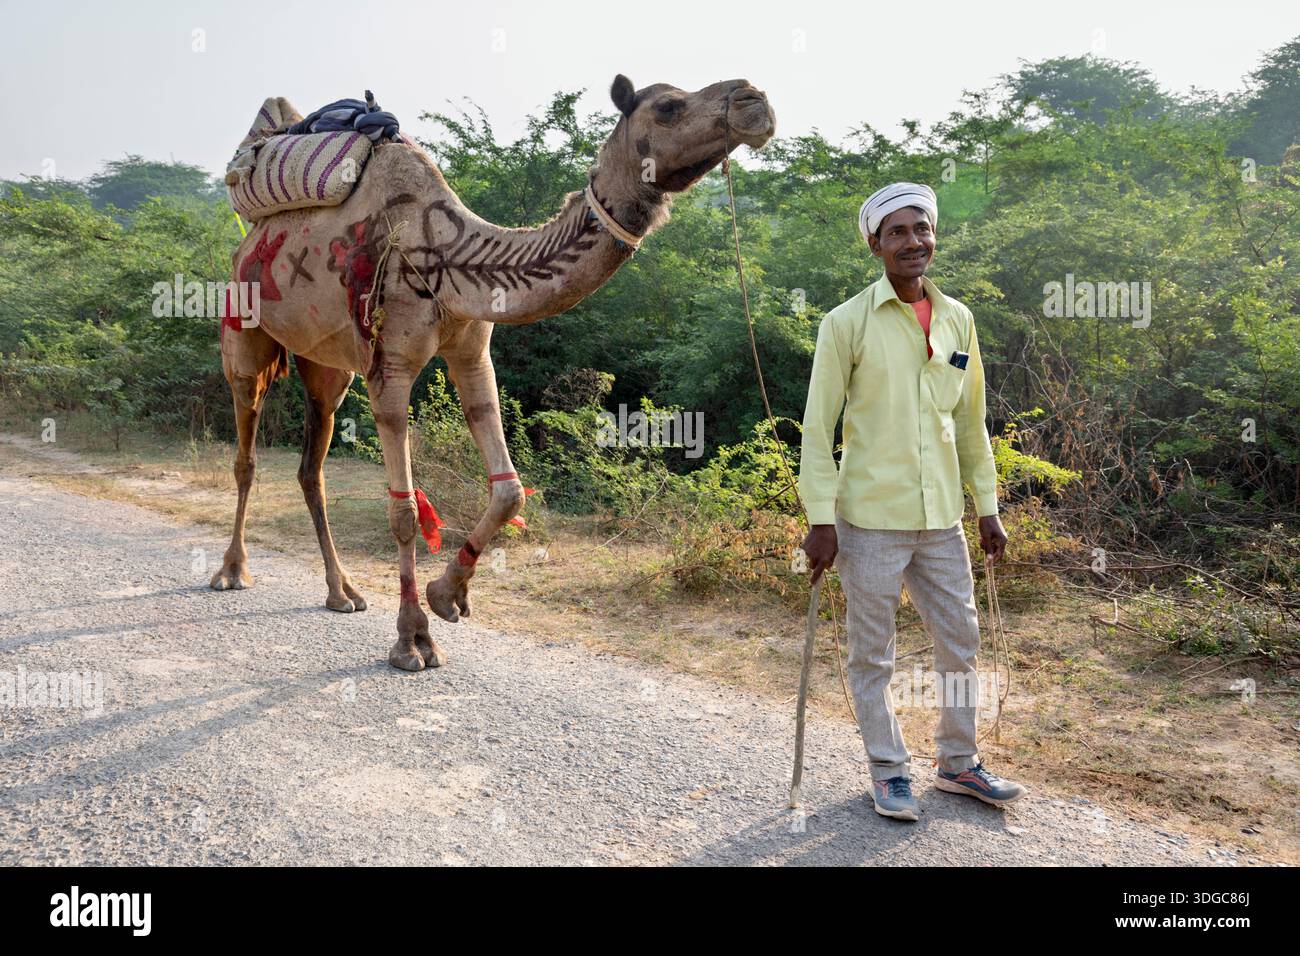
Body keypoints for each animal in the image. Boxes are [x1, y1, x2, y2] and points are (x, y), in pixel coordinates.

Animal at [210, 75, 775, 670]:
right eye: (668, 106)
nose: (752, 99)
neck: (452, 255)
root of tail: (248, 239)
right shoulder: (390, 367)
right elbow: (404, 511)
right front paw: (412, 639)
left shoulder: (472, 351)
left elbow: (510, 491)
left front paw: (447, 594)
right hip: (241, 326)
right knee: (246, 450)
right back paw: (232, 571)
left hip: (326, 364)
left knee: (310, 467)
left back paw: (342, 591)